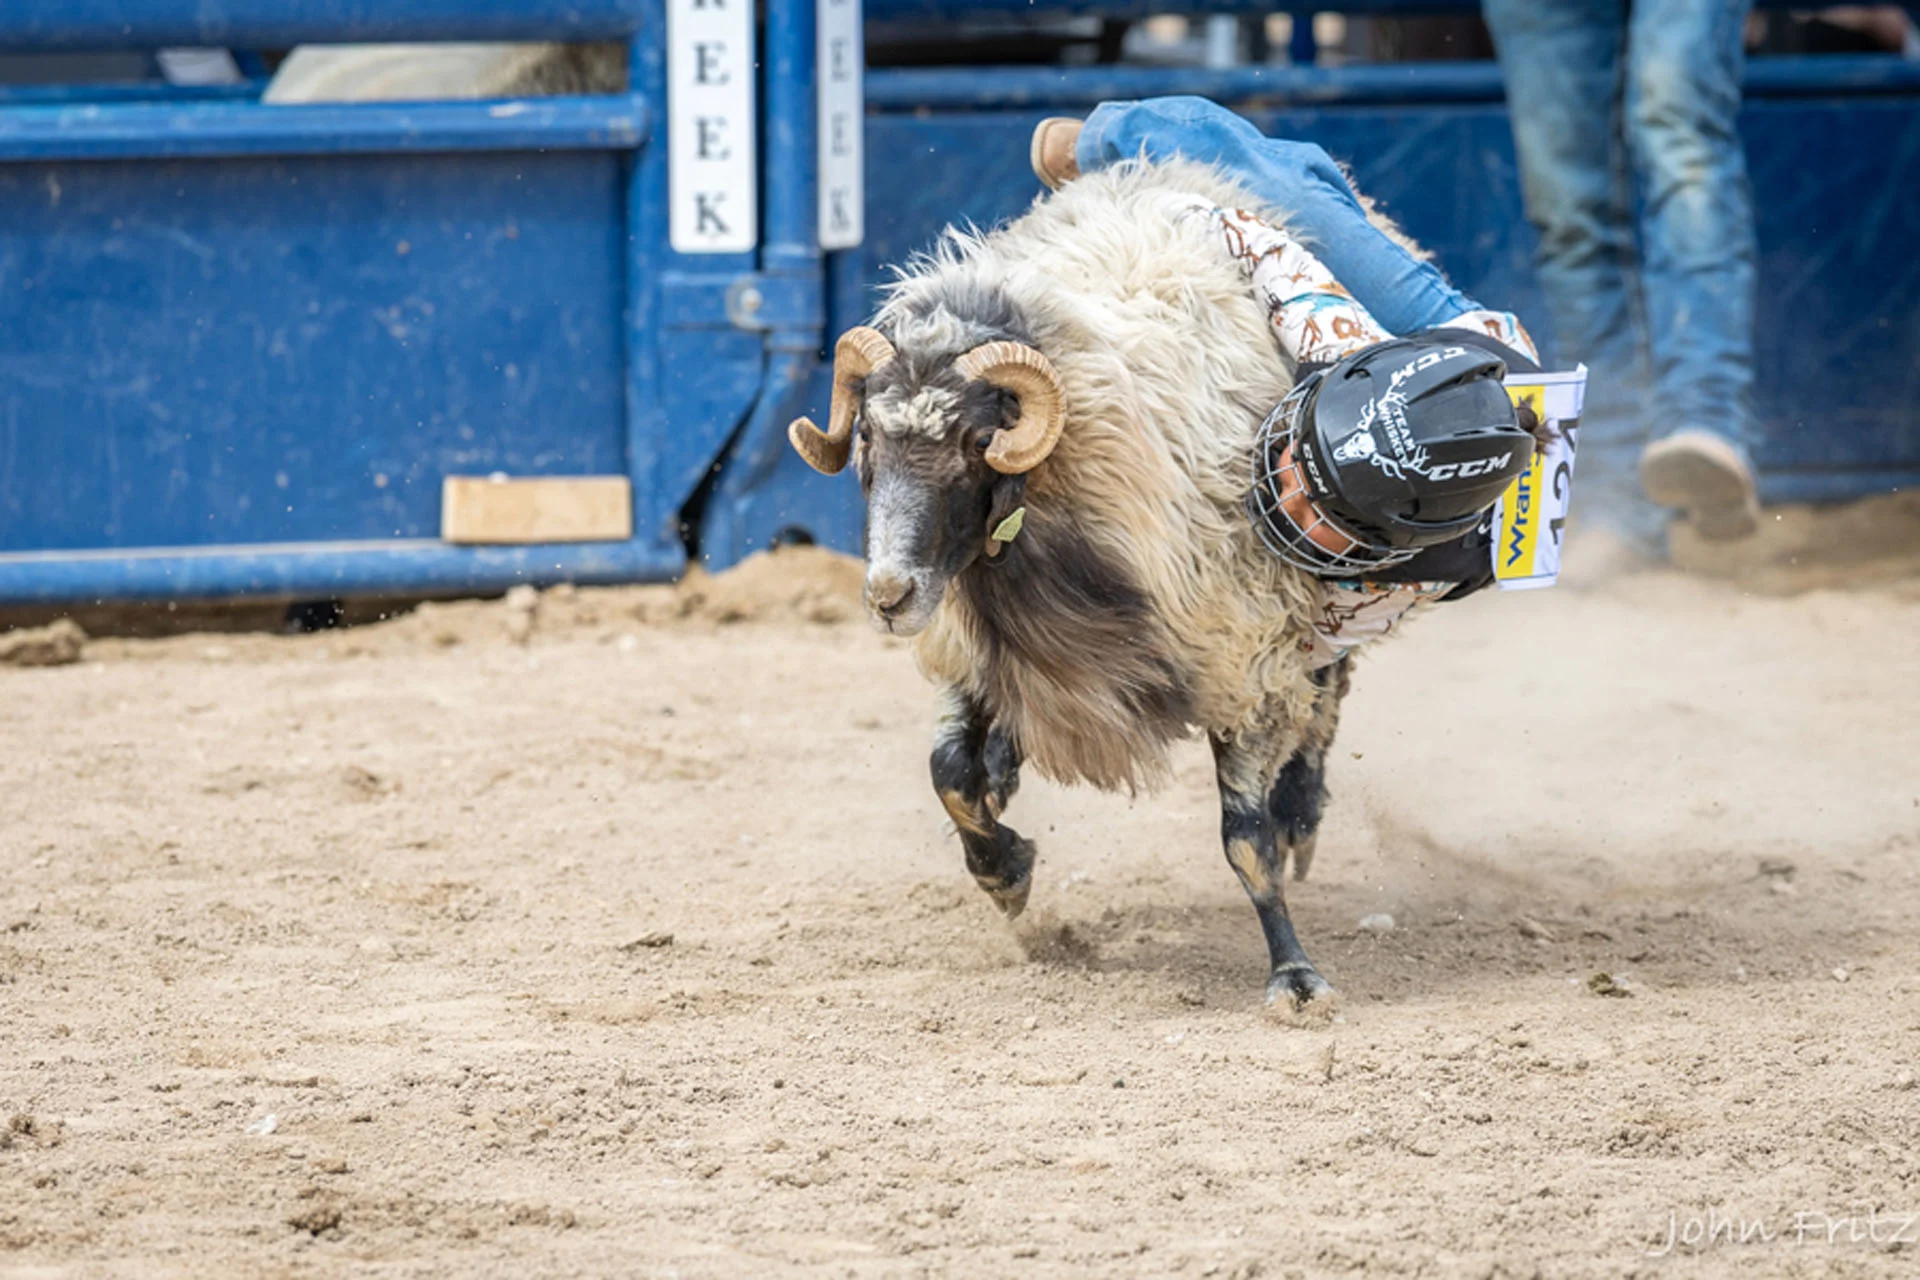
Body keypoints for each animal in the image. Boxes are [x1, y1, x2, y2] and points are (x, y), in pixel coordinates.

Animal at [787, 157, 1405, 1009]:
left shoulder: (1240, 658)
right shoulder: (977, 648)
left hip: (1321, 597)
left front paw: (1294, 975)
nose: (888, 597)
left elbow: (1244, 842)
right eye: (869, 436)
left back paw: (1300, 815)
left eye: (976, 440)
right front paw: (1005, 870)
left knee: (1326, 697)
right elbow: (949, 776)